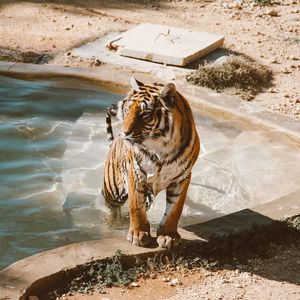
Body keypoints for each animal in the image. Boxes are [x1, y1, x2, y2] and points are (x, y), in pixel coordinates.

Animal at [102, 77, 200, 248]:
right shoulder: (136, 173)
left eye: (145, 114)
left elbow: (175, 210)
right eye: (127, 110)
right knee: (112, 208)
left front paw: (168, 236)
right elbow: (136, 206)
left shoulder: (182, 178)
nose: (124, 132)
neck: (162, 148)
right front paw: (138, 234)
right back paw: (114, 223)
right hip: (113, 190)